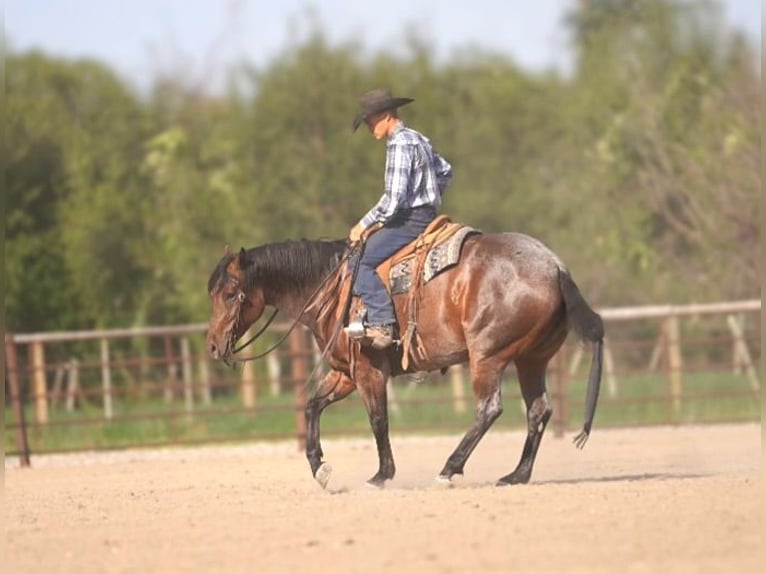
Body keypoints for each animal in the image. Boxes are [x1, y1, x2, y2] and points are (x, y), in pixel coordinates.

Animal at [206, 231, 604, 488]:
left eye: (231, 293)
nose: (211, 345)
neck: (332, 286)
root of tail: (555, 267)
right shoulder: (345, 372)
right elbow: (312, 406)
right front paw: (320, 468)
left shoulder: (369, 370)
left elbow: (378, 420)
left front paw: (382, 475)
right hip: (531, 360)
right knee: (538, 410)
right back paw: (516, 475)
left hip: (488, 356)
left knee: (490, 408)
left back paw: (449, 468)